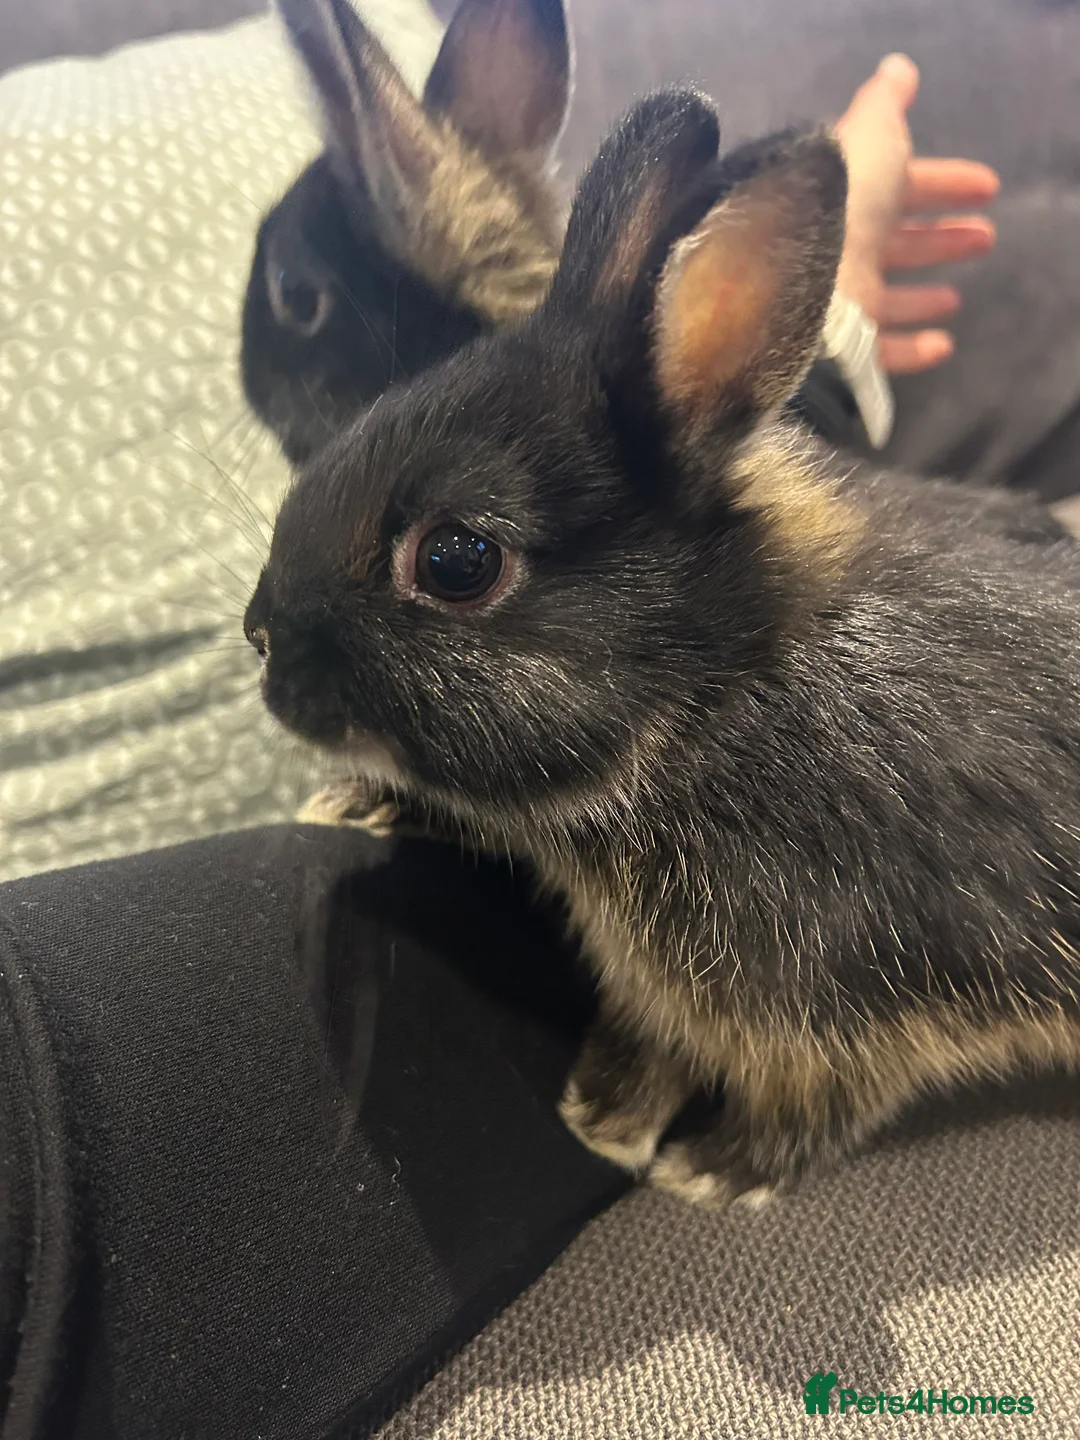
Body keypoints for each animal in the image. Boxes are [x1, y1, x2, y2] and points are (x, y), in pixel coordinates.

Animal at [245, 87, 1080, 1210]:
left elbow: (826, 1099)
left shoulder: (860, 999)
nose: (259, 636)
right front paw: (603, 1114)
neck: (712, 700)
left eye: (458, 560)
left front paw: (708, 1170)